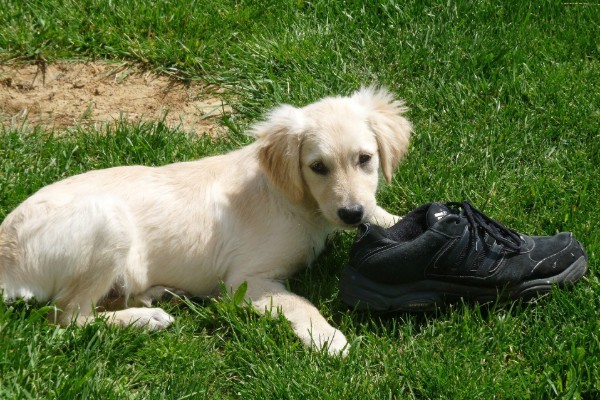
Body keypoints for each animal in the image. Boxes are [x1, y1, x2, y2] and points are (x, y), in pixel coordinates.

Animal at [0, 86, 412, 354]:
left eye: (365, 159)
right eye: (318, 167)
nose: (350, 214)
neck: (295, 199)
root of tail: (6, 259)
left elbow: (379, 210)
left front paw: (395, 218)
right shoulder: (246, 280)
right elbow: (299, 302)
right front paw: (327, 337)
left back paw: (156, 295)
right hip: (108, 221)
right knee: (66, 317)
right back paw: (144, 319)